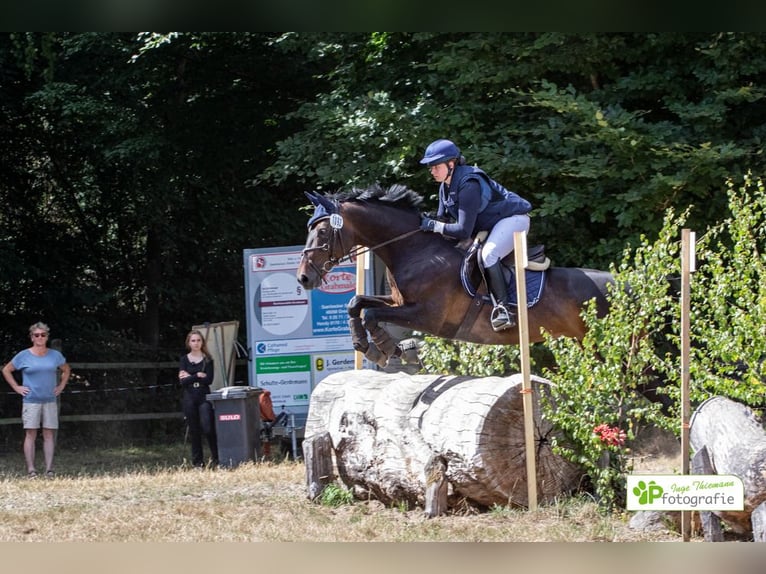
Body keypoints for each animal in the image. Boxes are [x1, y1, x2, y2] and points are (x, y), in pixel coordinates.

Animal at [296, 184, 616, 368]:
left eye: (322, 232)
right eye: (309, 228)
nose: (303, 278)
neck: (415, 249)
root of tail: (620, 283)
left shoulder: (429, 316)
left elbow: (372, 314)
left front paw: (389, 349)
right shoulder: (398, 301)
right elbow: (358, 303)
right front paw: (370, 346)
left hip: (601, 346)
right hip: (584, 343)